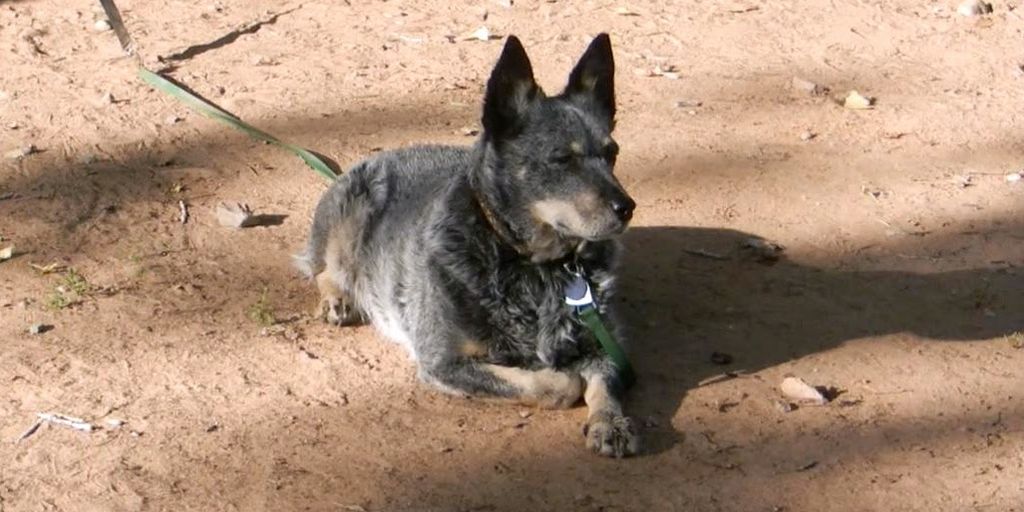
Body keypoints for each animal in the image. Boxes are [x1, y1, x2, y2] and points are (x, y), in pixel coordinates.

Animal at [292, 33, 638, 456]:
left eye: (612, 153)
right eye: (561, 159)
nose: (627, 207)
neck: (535, 266)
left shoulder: (605, 343)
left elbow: (606, 381)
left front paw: (611, 422)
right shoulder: (445, 361)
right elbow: (547, 383)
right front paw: (566, 381)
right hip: (349, 213)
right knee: (324, 267)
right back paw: (337, 299)